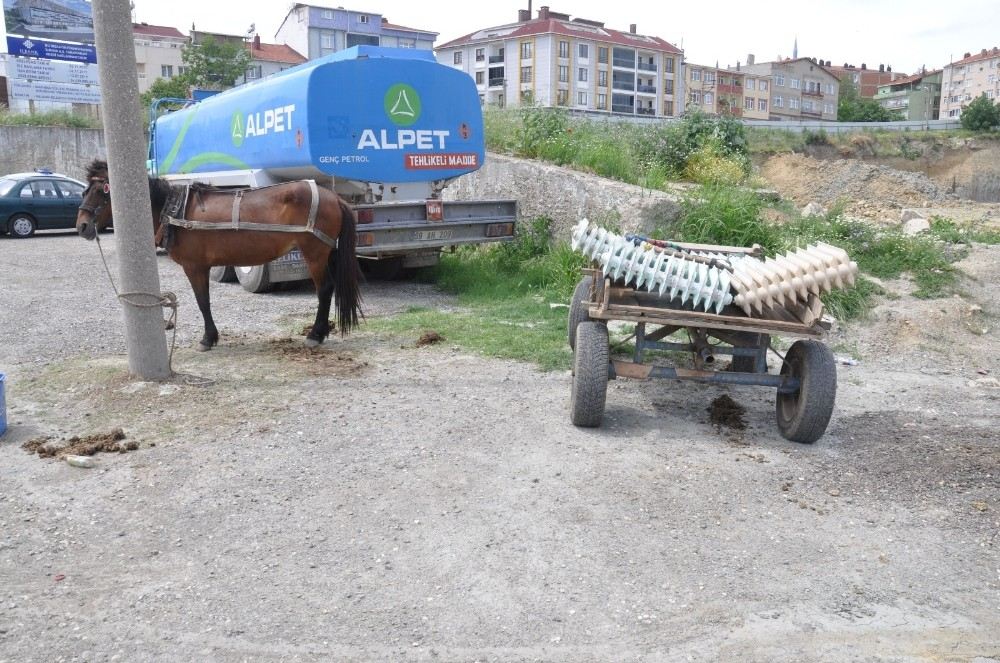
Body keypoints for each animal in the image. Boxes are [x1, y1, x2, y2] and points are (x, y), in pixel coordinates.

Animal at [76, 160, 364, 352]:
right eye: (85, 189)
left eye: (101, 190)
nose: (82, 226)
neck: (175, 210)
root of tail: (335, 198)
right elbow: (205, 301)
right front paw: (211, 336)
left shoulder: (194, 267)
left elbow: (203, 302)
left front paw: (208, 338)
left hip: (314, 253)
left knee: (324, 290)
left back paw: (315, 334)